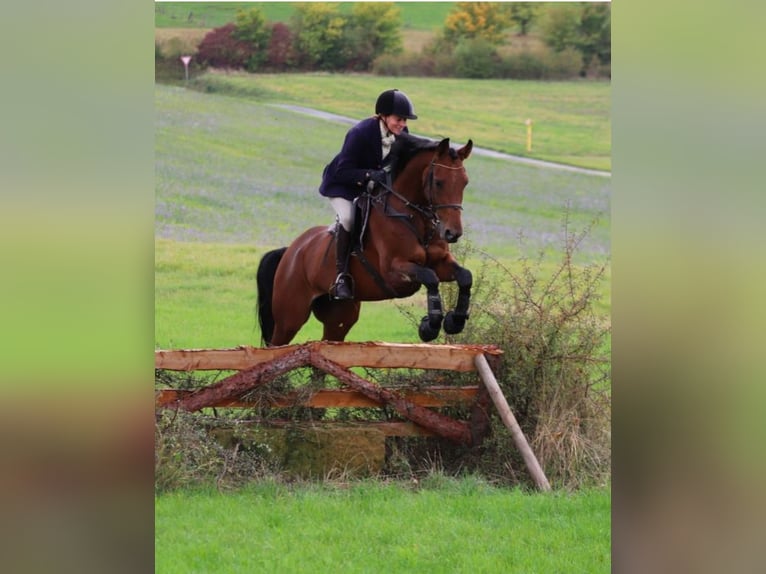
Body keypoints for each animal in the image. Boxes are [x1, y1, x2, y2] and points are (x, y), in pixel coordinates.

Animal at [256, 133, 473, 347]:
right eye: (438, 182)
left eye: (465, 182)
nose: (452, 233)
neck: (412, 217)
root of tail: (291, 251)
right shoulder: (393, 272)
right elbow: (430, 277)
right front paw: (429, 326)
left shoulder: (440, 262)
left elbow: (465, 276)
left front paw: (454, 321)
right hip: (290, 316)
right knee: (276, 343)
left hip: (340, 316)